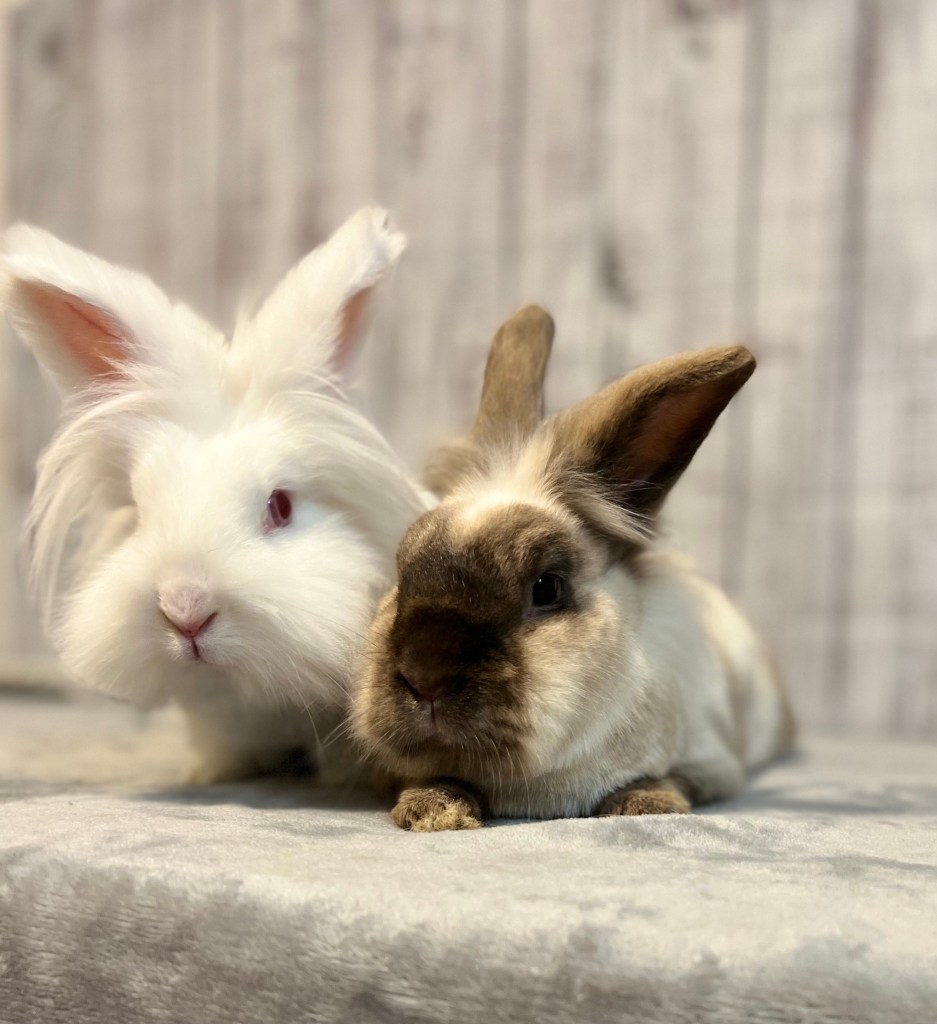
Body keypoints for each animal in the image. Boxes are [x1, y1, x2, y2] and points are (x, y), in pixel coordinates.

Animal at [351, 306, 796, 829]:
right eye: (402, 572)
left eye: (547, 587)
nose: (424, 678)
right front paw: (434, 811)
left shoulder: (713, 763)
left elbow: (667, 778)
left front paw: (646, 804)